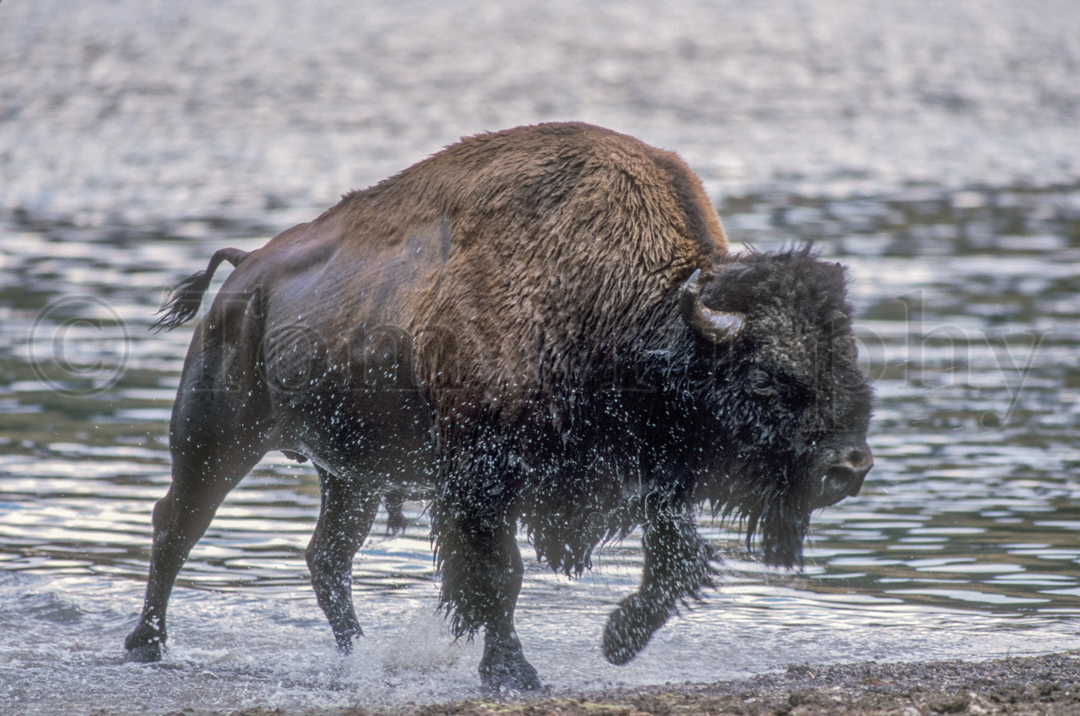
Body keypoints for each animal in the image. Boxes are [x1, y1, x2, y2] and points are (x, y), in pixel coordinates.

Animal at [124, 122, 868, 691]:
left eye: (849, 360)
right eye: (766, 377)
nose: (849, 466)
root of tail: (245, 272)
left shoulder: (652, 480)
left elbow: (675, 564)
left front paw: (616, 642)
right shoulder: (481, 482)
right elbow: (498, 577)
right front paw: (514, 673)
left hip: (351, 475)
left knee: (325, 557)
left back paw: (358, 655)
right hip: (215, 436)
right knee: (177, 524)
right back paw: (145, 644)